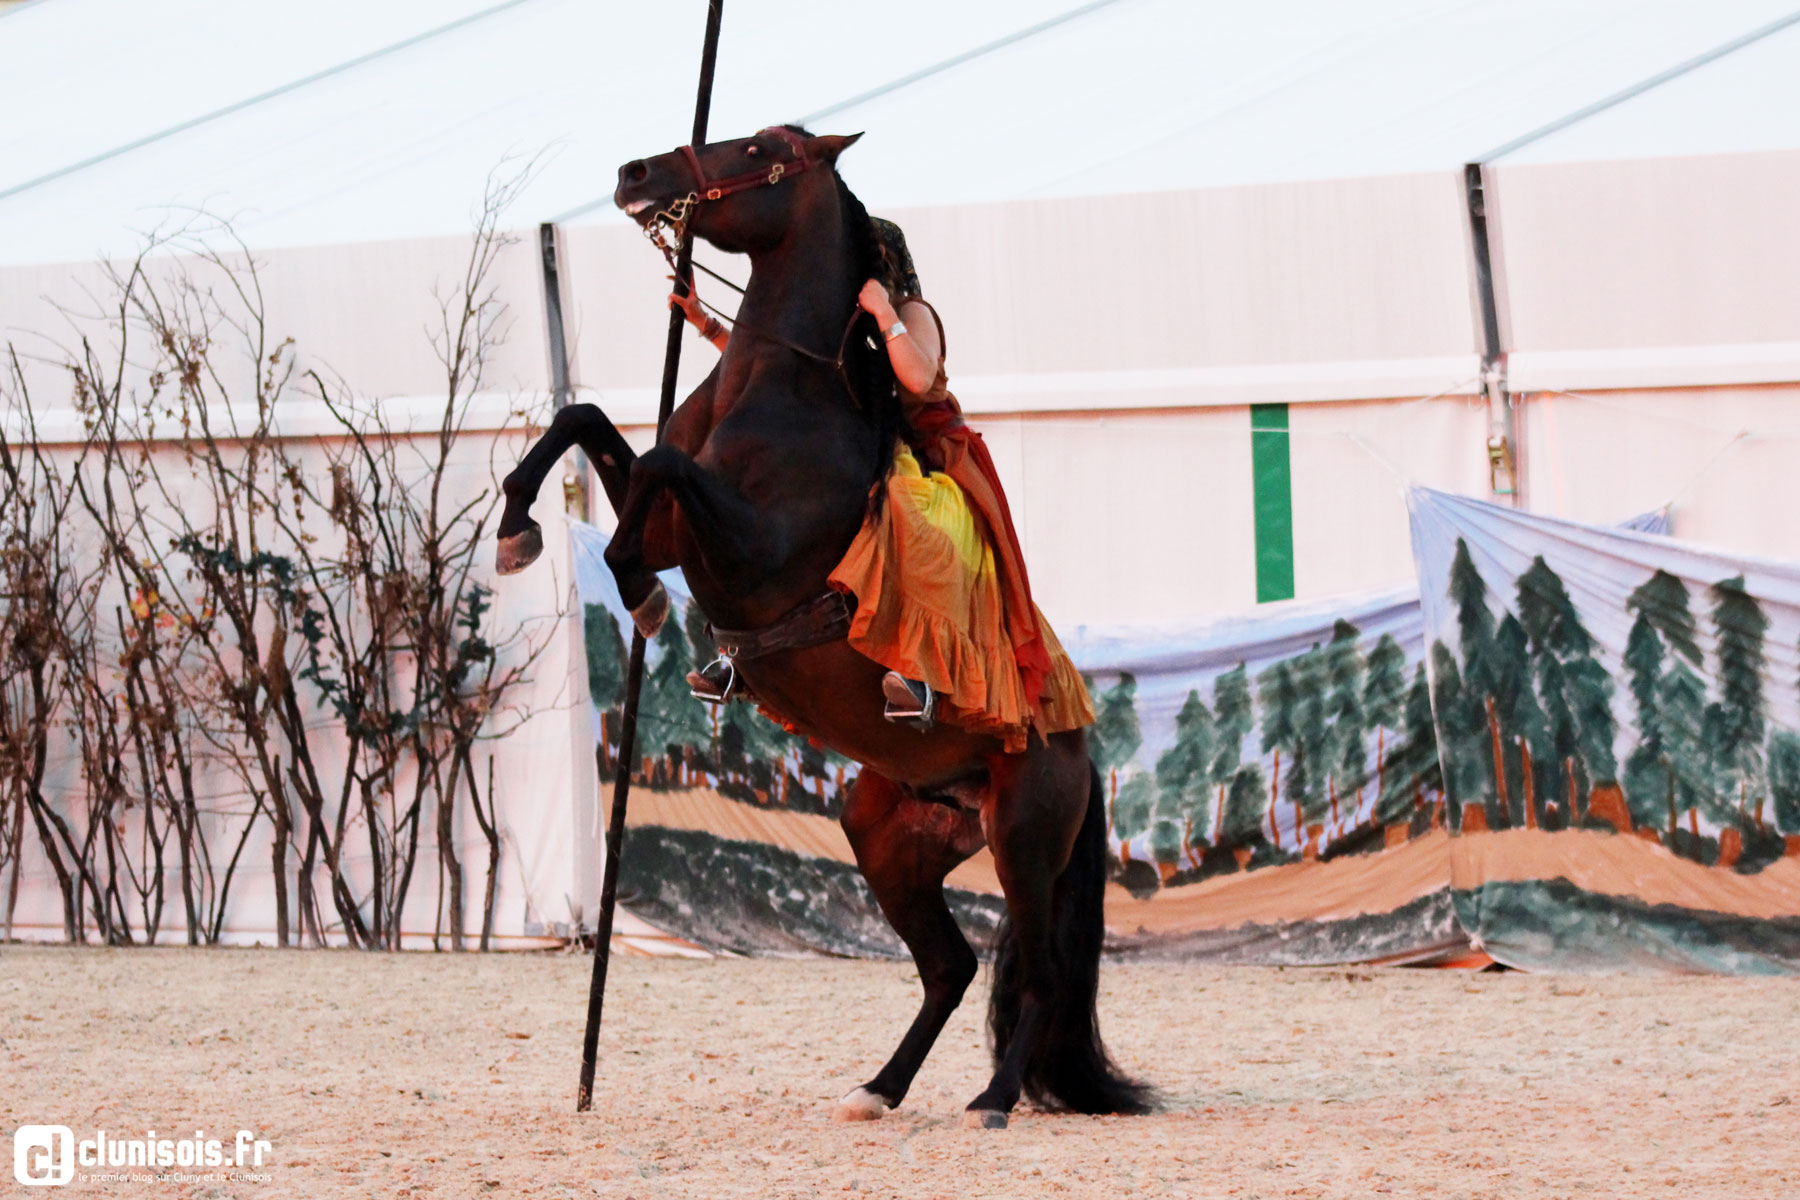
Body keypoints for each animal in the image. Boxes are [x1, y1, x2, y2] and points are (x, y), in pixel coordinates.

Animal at [493, 126, 1144, 1129]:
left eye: (761, 146)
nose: (637, 174)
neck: (779, 382)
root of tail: (1077, 740)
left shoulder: (749, 550)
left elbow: (661, 476)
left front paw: (637, 591)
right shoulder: (683, 520)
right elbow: (587, 420)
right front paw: (519, 526)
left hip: (1023, 841)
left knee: (1036, 975)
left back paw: (991, 1100)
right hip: (886, 838)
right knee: (951, 967)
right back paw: (877, 1090)